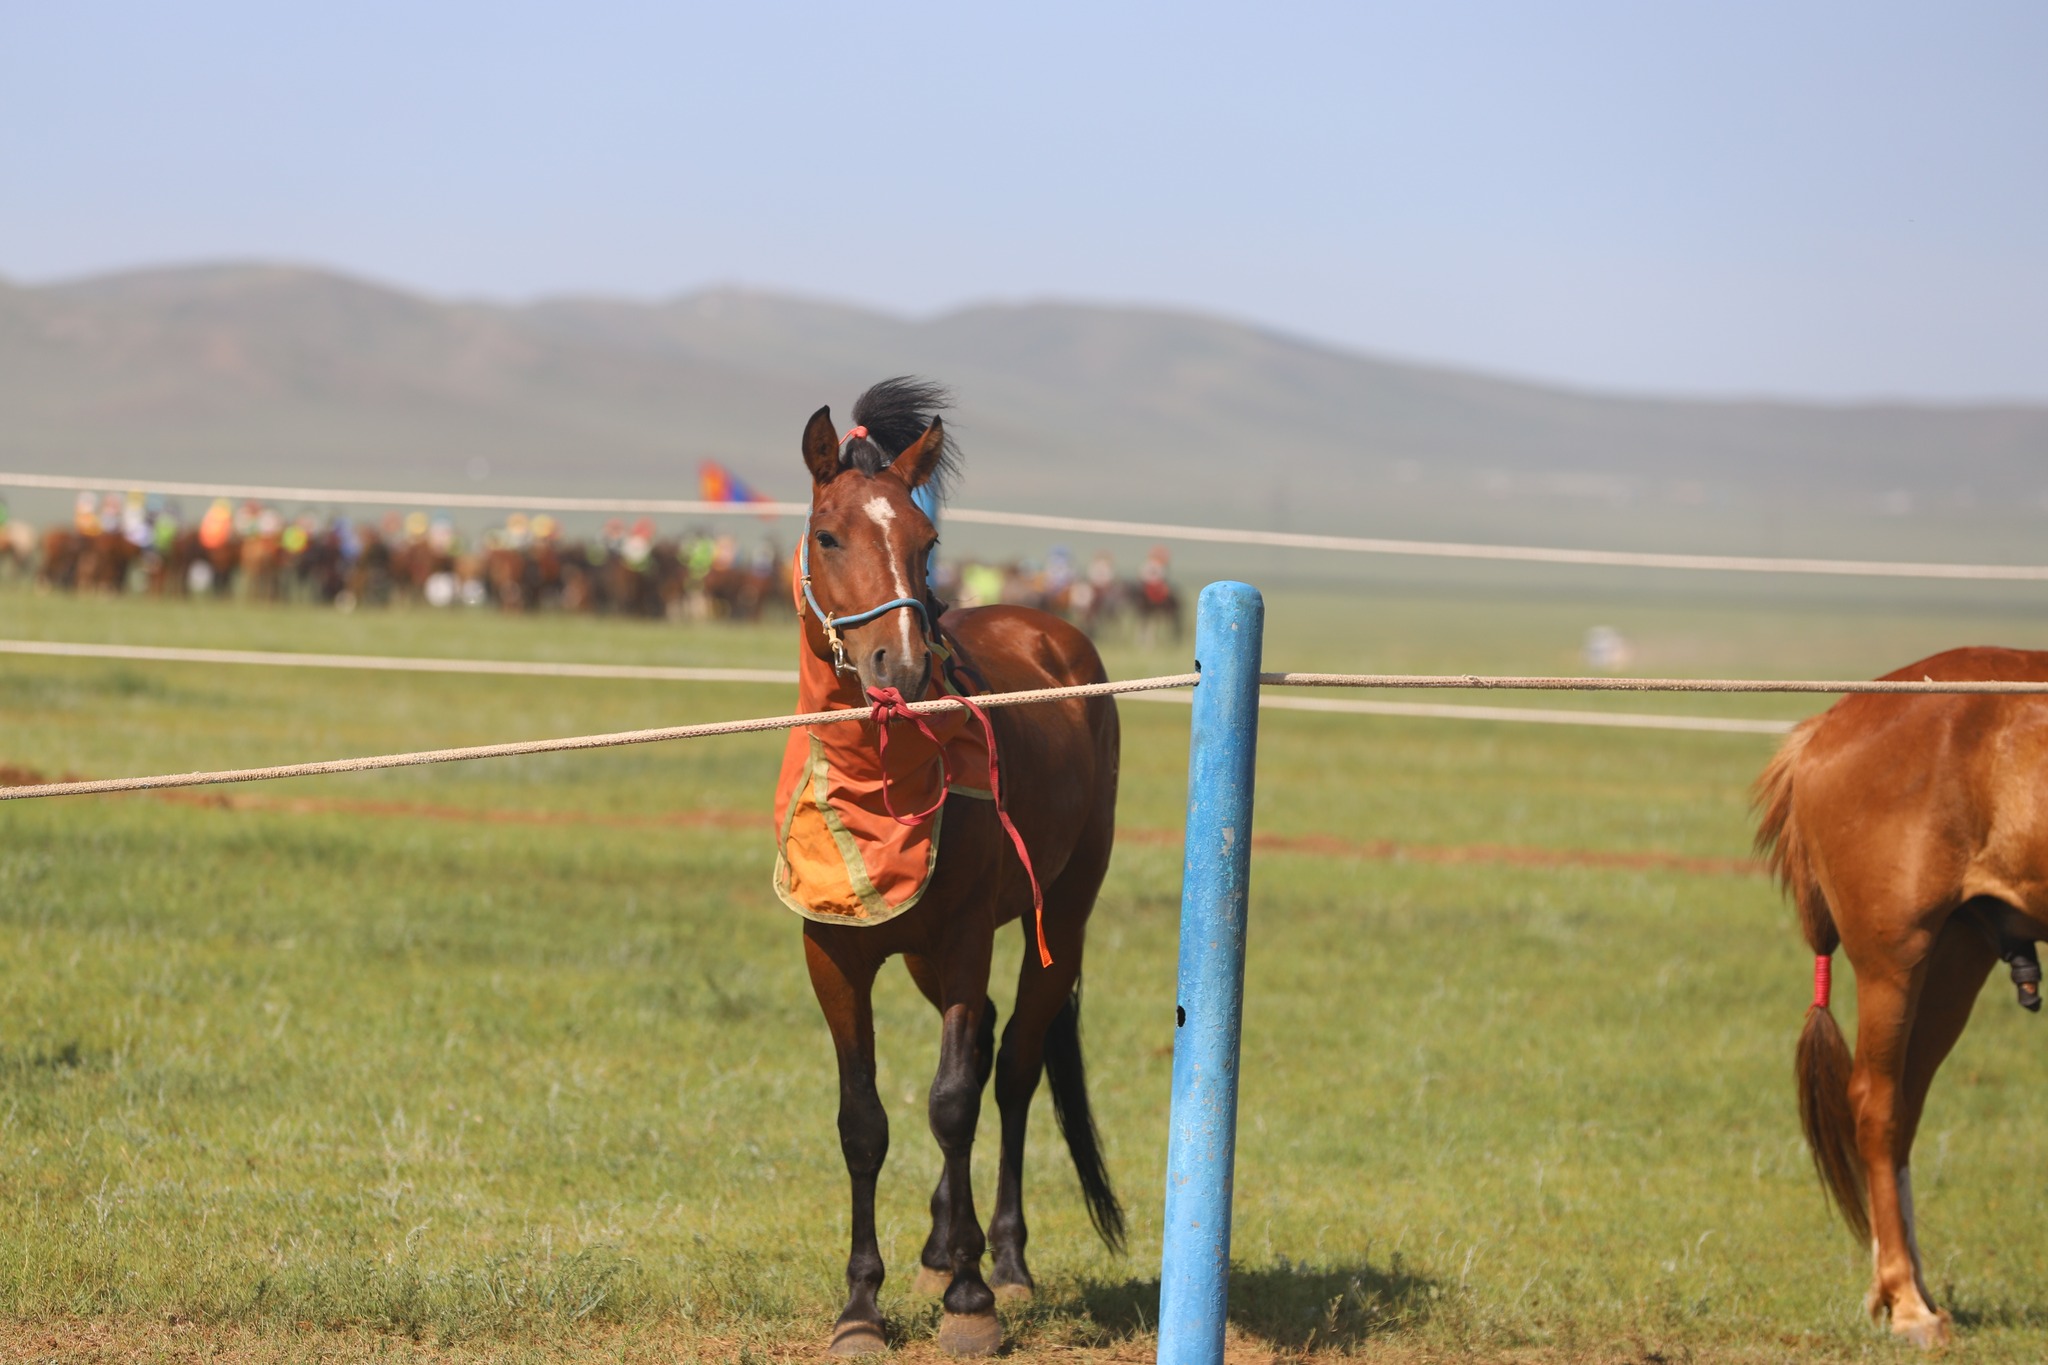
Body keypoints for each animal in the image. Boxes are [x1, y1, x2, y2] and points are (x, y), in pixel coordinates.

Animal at [790, 378, 1130, 1358]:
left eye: (925, 541)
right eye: (830, 534)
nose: (897, 662)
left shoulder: (969, 935)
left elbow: (951, 1102)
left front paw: (972, 1300)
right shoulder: (836, 953)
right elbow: (862, 1121)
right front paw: (861, 1306)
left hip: (1059, 919)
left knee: (1008, 1069)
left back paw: (1001, 1259)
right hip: (920, 954)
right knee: (982, 1054)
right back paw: (945, 1244)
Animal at [1753, 650, 2048, 1342]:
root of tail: (1828, 727)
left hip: (1955, 955)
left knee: (1905, 1106)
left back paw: (1909, 1290)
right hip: (1897, 955)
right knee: (1876, 1102)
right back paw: (1907, 1303)